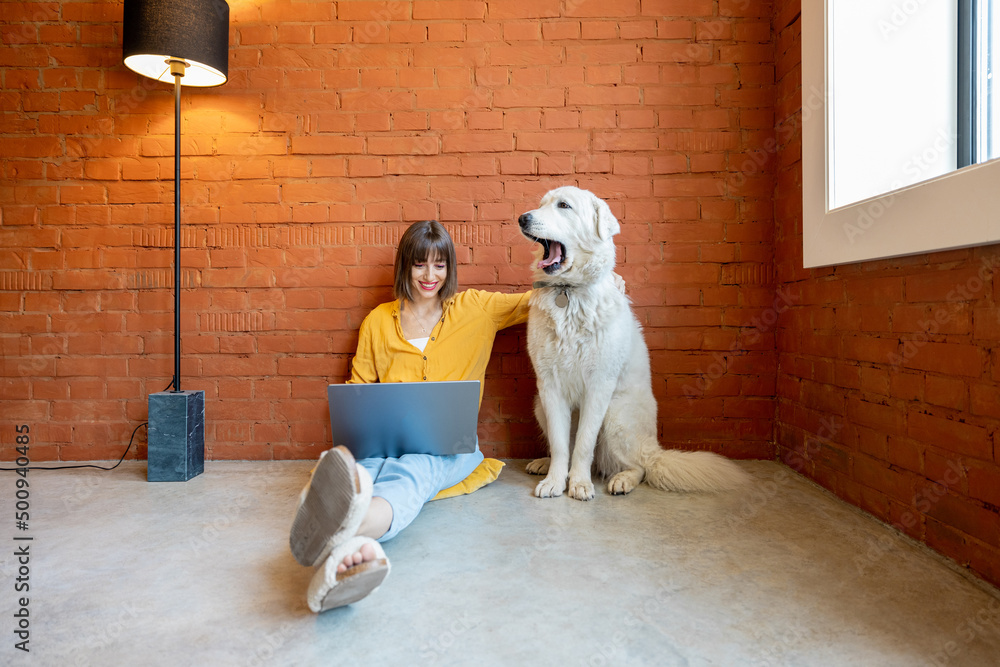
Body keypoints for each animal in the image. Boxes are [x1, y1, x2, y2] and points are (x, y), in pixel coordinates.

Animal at [520, 187, 748, 500]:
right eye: (541, 204)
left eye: (563, 206)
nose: (522, 218)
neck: (569, 293)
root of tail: (655, 448)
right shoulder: (550, 386)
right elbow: (560, 444)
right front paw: (555, 480)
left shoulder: (599, 385)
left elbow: (584, 445)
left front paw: (579, 484)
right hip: (538, 405)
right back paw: (545, 464)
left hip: (616, 415)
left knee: (641, 466)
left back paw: (622, 481)